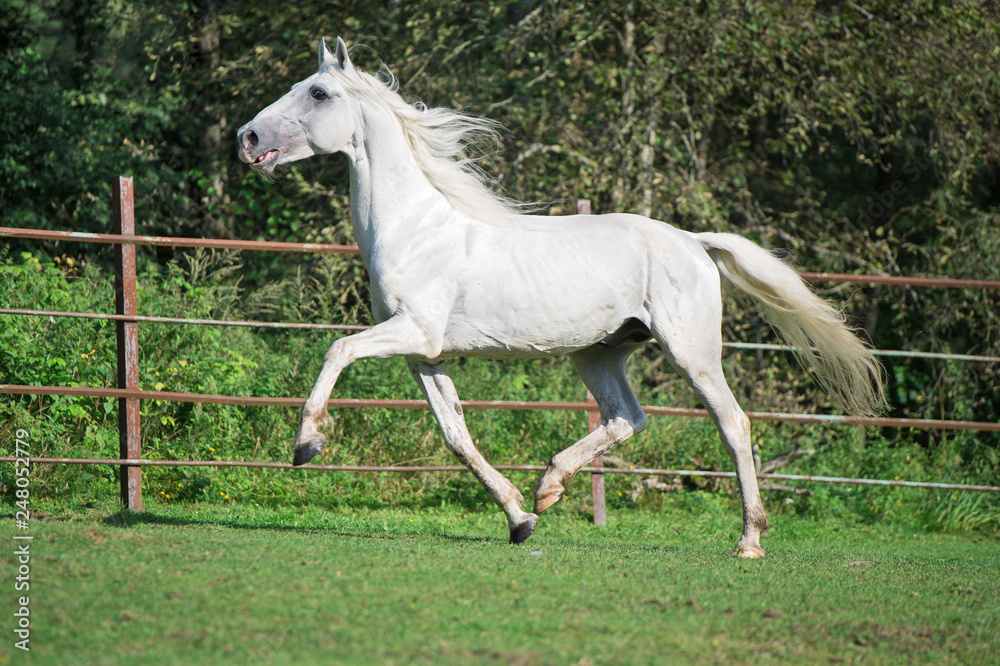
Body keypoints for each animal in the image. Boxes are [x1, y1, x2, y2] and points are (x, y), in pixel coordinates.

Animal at [237, 38, 884, 557]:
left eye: (318, 92)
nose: (247, 138)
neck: (414, 229)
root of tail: (694, 242)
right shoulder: (426, 355)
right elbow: (456, 436)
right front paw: (519, 519)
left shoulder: (412, 332)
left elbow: (337, 350)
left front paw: (308, 443)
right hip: (598, 353)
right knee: (628, 417)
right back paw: (549, 487)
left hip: (691, 351)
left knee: (734, 424)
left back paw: (748, 540)